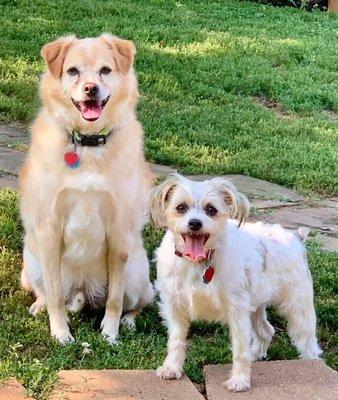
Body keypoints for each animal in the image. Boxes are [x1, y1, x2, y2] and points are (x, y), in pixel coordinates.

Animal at [19, 33, 154, 344]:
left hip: (138, 273)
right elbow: (55, 296)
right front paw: (60, 332)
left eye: (105, 70)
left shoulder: (119, 232)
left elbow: (115, 298)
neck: (88, 144)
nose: (91, 89)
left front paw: (111, 333)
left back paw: (128, 322)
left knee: (137, 303)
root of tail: (85, 292)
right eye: (73, 71)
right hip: (32, 261)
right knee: (47, 291)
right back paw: (40, 305)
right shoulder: (49, 228)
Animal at [151, 174, 322, 390]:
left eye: (211, 210)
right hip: (256, 306)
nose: (195, 223)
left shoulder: (237, 310)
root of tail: (296, 237)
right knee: (267, 331)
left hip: (298, 308)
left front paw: (240, 379)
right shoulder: (174, 307)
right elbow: (176, 340)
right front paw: (172, 367)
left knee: (308, 343)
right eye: (181, 207)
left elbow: (240, 349)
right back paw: (255, 356)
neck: (198, 263)